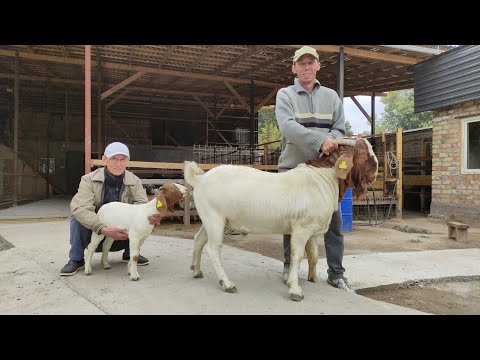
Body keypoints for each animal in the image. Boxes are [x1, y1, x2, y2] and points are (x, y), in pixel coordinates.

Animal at [186, 138, 376, 300]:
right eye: (363, 153)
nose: (374, 173)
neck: (323, 178)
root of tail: (200, 179)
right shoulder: (301, 229)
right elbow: (297, 256)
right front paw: (295, 289)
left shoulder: (312, 230)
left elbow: (313, 255)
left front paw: (312, 279)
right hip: (215, 219)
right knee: (213, 249)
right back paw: (227, 284)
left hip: (210, 219)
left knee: (198, 240)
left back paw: (196, 271)